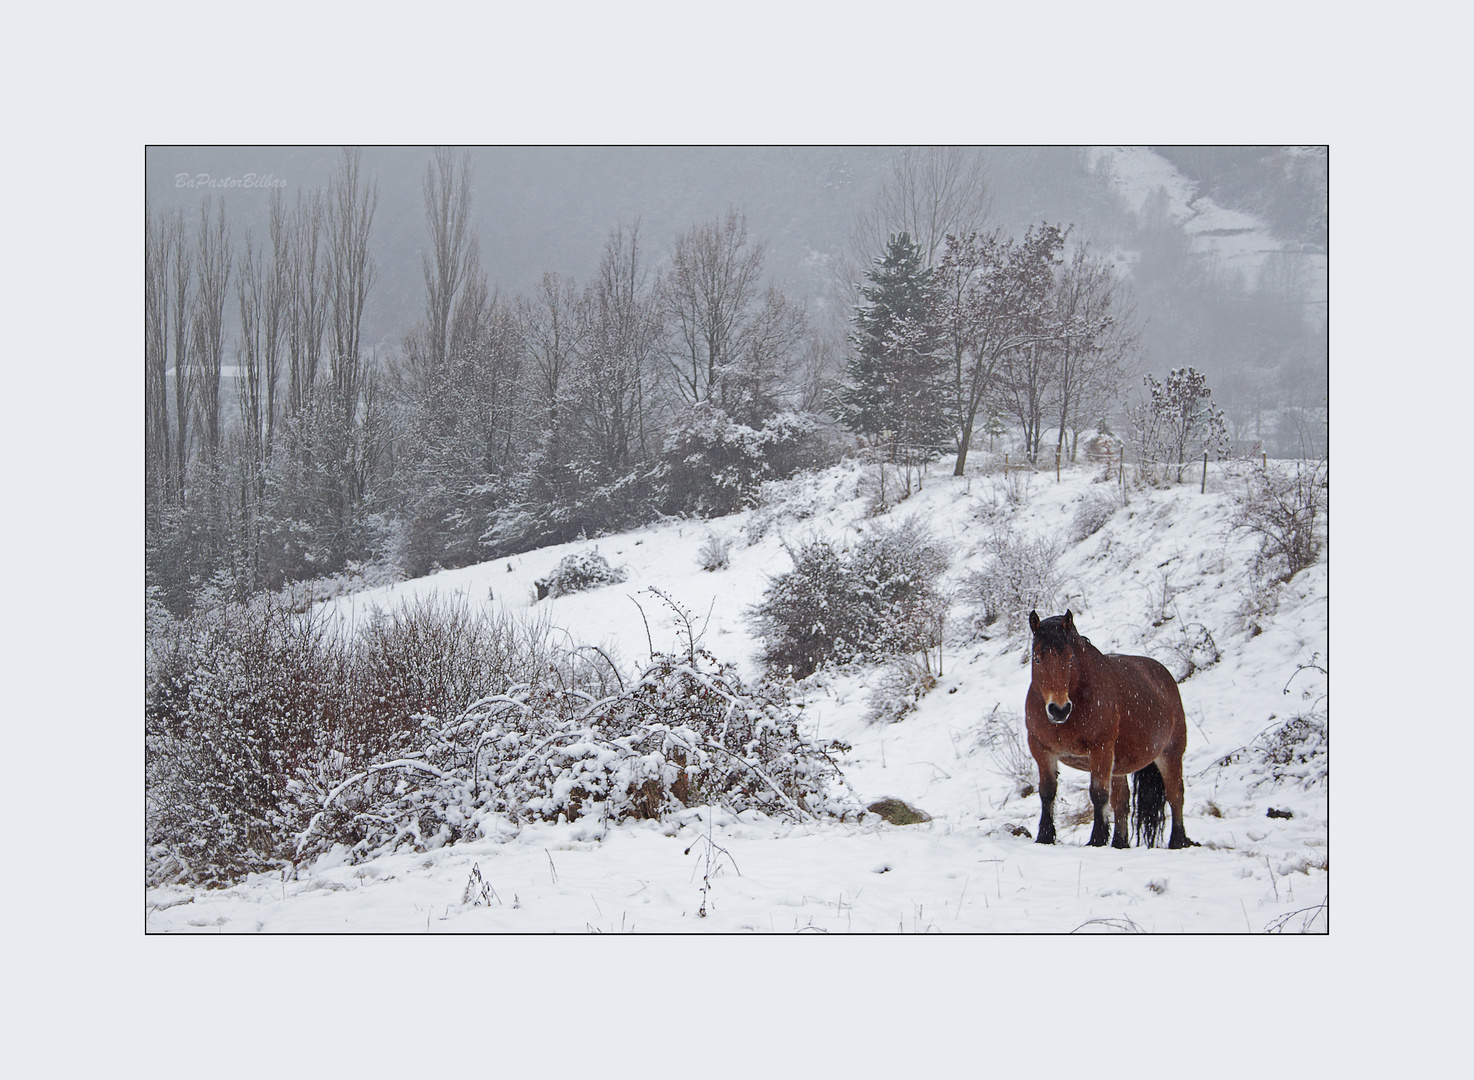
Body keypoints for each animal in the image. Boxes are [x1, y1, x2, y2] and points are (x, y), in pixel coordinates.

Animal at [1031, 609, 1190, 848]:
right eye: (1037, 658)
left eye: (1070, 658)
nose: (1059, 709)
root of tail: (1165, 678)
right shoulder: (1042, 750)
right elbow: (1047, 792)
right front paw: (1044, 837)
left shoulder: (1101, 750)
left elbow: (1098, 794)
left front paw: (1096, 839)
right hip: (1119, 767)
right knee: (1122, 802)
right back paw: (1119, 842)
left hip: (1170, 754)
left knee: (1175, 795)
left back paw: (1177, 841)